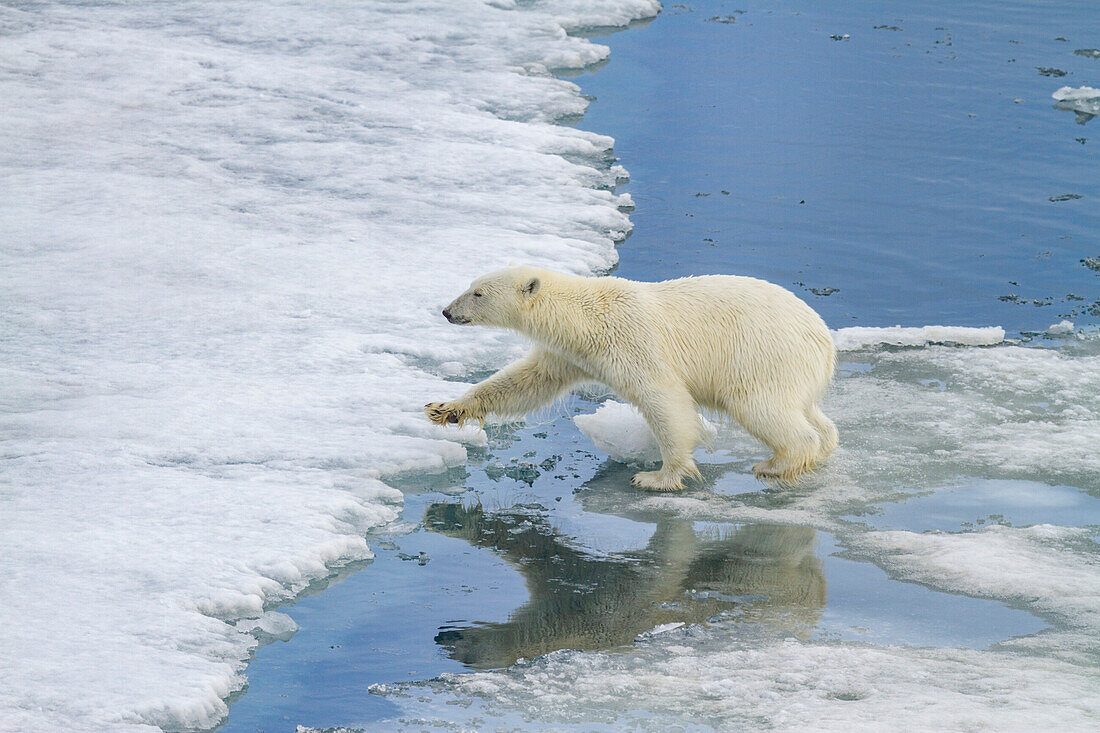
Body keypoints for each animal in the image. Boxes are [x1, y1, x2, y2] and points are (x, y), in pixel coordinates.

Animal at [424, 265, 836, 488]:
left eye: (478, 293)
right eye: (471, 285)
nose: (446, 311)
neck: (585, 317)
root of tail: (824, 339)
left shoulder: (630, 340)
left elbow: (664, 399)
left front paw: (657, 477)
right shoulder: (569, 354)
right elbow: (527, 380)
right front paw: (446, 408)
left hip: (762, 356)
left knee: (761, 408)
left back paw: (777, 464)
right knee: (810, 412)